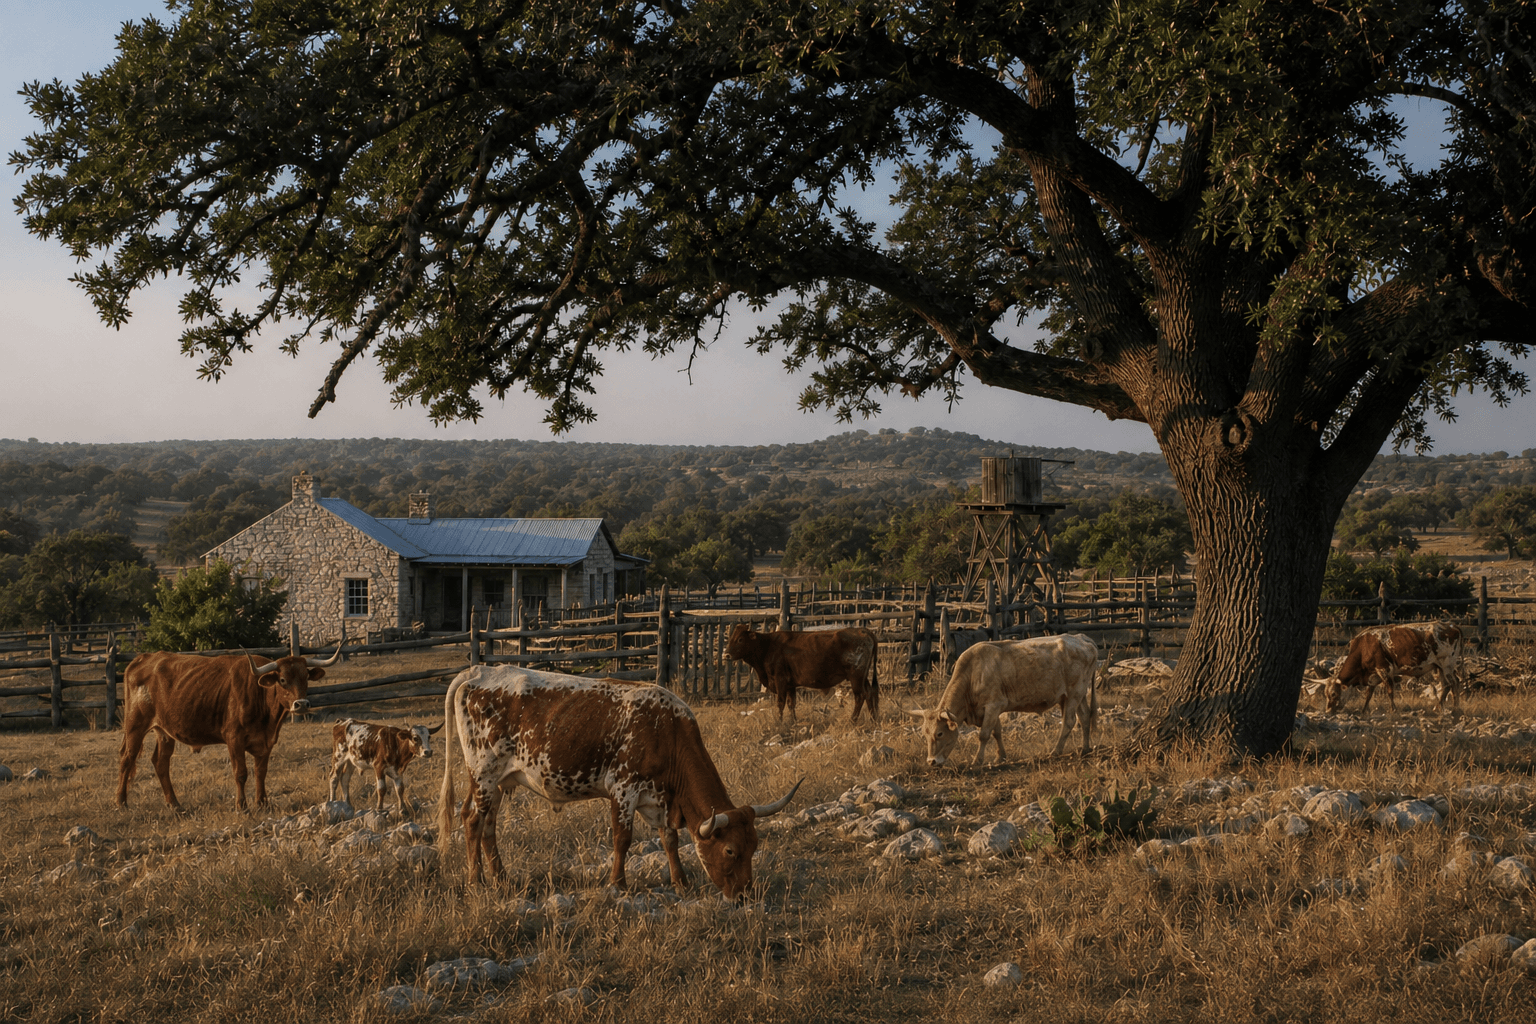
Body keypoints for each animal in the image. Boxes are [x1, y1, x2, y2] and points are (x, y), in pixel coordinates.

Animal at [116, 641, 345, 811]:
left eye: (306, 677)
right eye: (282, 679)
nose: (301, 704)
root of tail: (144, 658)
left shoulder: (267, 741)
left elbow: (261, 771)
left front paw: (262, 803)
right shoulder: (234, 739)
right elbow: (241, 773)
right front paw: (241, 806)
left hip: (164, 731)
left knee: (161, 762)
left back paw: (175, 804)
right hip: (135, 725)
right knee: (127, 759)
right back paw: (121, 802)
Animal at [437, 665, 801, 897]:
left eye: (754, 847)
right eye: (730, 850)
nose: (743, 896)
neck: (667, 730)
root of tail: (477, 671)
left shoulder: (660, 799)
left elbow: (670, 839)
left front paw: (680, 882)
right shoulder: (624, 789)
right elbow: (622, 839)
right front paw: (618, 884)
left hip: (500, 780)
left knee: (488, 826)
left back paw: (502, 879)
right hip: (484, 773)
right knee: (473, 820)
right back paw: (476, 882)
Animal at [726, 624, 879, 724]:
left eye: (740, 639)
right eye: (731, 638)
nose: (726, 654)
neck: (768, 646)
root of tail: (862, 630)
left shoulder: (780, 681)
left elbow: (780, 703)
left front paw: (779, 722)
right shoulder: (790, 685)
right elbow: (791, 703)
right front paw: (793, 721)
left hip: (856, 676)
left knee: (860, 696)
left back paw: (853, 720)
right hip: (863, 676)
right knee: (869, 693)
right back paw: (873, 719)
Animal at [908, 633, 1099, 766]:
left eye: (939, 733)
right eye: (925, 733)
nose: (931, 761)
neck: (972, 674)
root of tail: (1081, 637)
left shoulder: (994, 705)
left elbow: (984, 735)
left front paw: (977, 760)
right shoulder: (991, 710)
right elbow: (997, 732)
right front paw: (1001, 757)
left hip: (1074, 693)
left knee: (1069, 721)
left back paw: (1056, 751)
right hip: (1074, 696)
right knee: (1084, 717)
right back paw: (1085, 748)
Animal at [1323, 622, 1463, 714]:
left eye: (1333, 693)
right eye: (1326, 694)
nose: (1328, 711)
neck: (1363, 647)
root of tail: (1451, 626)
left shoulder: (1384, 670)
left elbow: (1390, 691)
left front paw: (1393, 710)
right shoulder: (1373, 675)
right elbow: (1368, 694)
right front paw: (1363, 710)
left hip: (1447, 664)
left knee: (1454, 683)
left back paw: (1455, 709)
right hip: (1439, 667)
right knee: (1446, 685)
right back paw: (1439, 707)